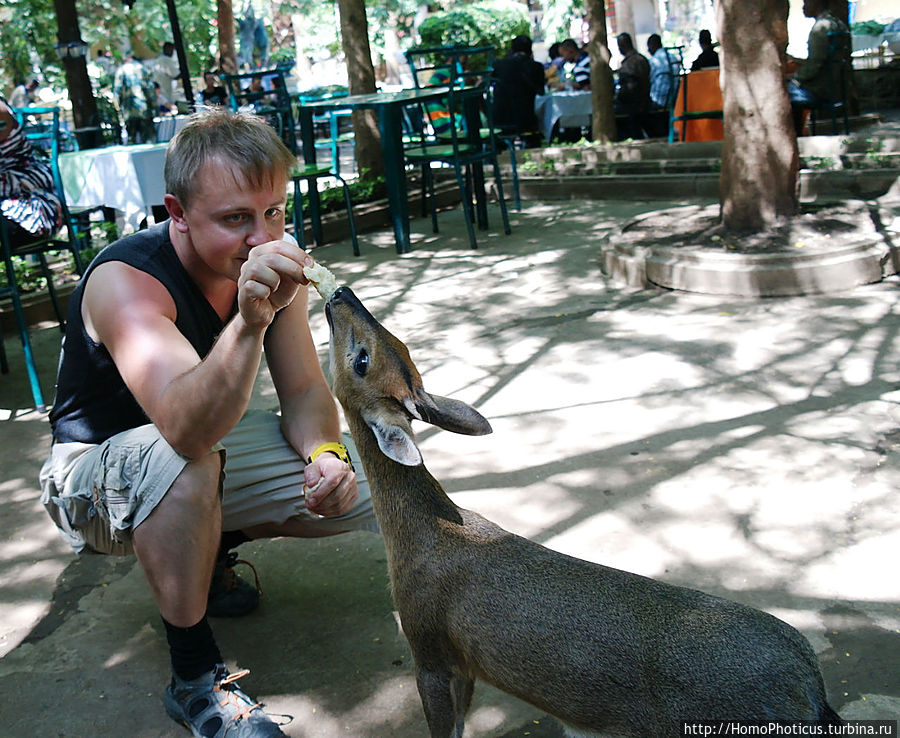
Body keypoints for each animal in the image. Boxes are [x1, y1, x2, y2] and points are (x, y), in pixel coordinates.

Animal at [324, 284, 844, 732]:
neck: (419, 534)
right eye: (399, 344)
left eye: (362, 359)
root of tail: (814, 691)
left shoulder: (428, 645)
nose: (340, 293)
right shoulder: (465, 661)